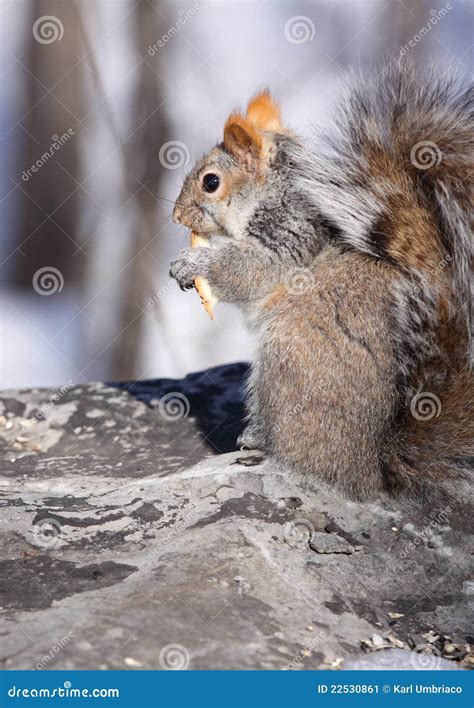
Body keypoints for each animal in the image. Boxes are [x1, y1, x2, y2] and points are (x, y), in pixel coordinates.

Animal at [170, 64, 473, 502]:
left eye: (211, 182)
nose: (176, 216)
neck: (270, 191)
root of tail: (373, 470)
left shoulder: (292, 233)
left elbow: (253, 268)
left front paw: (194, 263)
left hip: (288, 352)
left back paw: (260, 440)